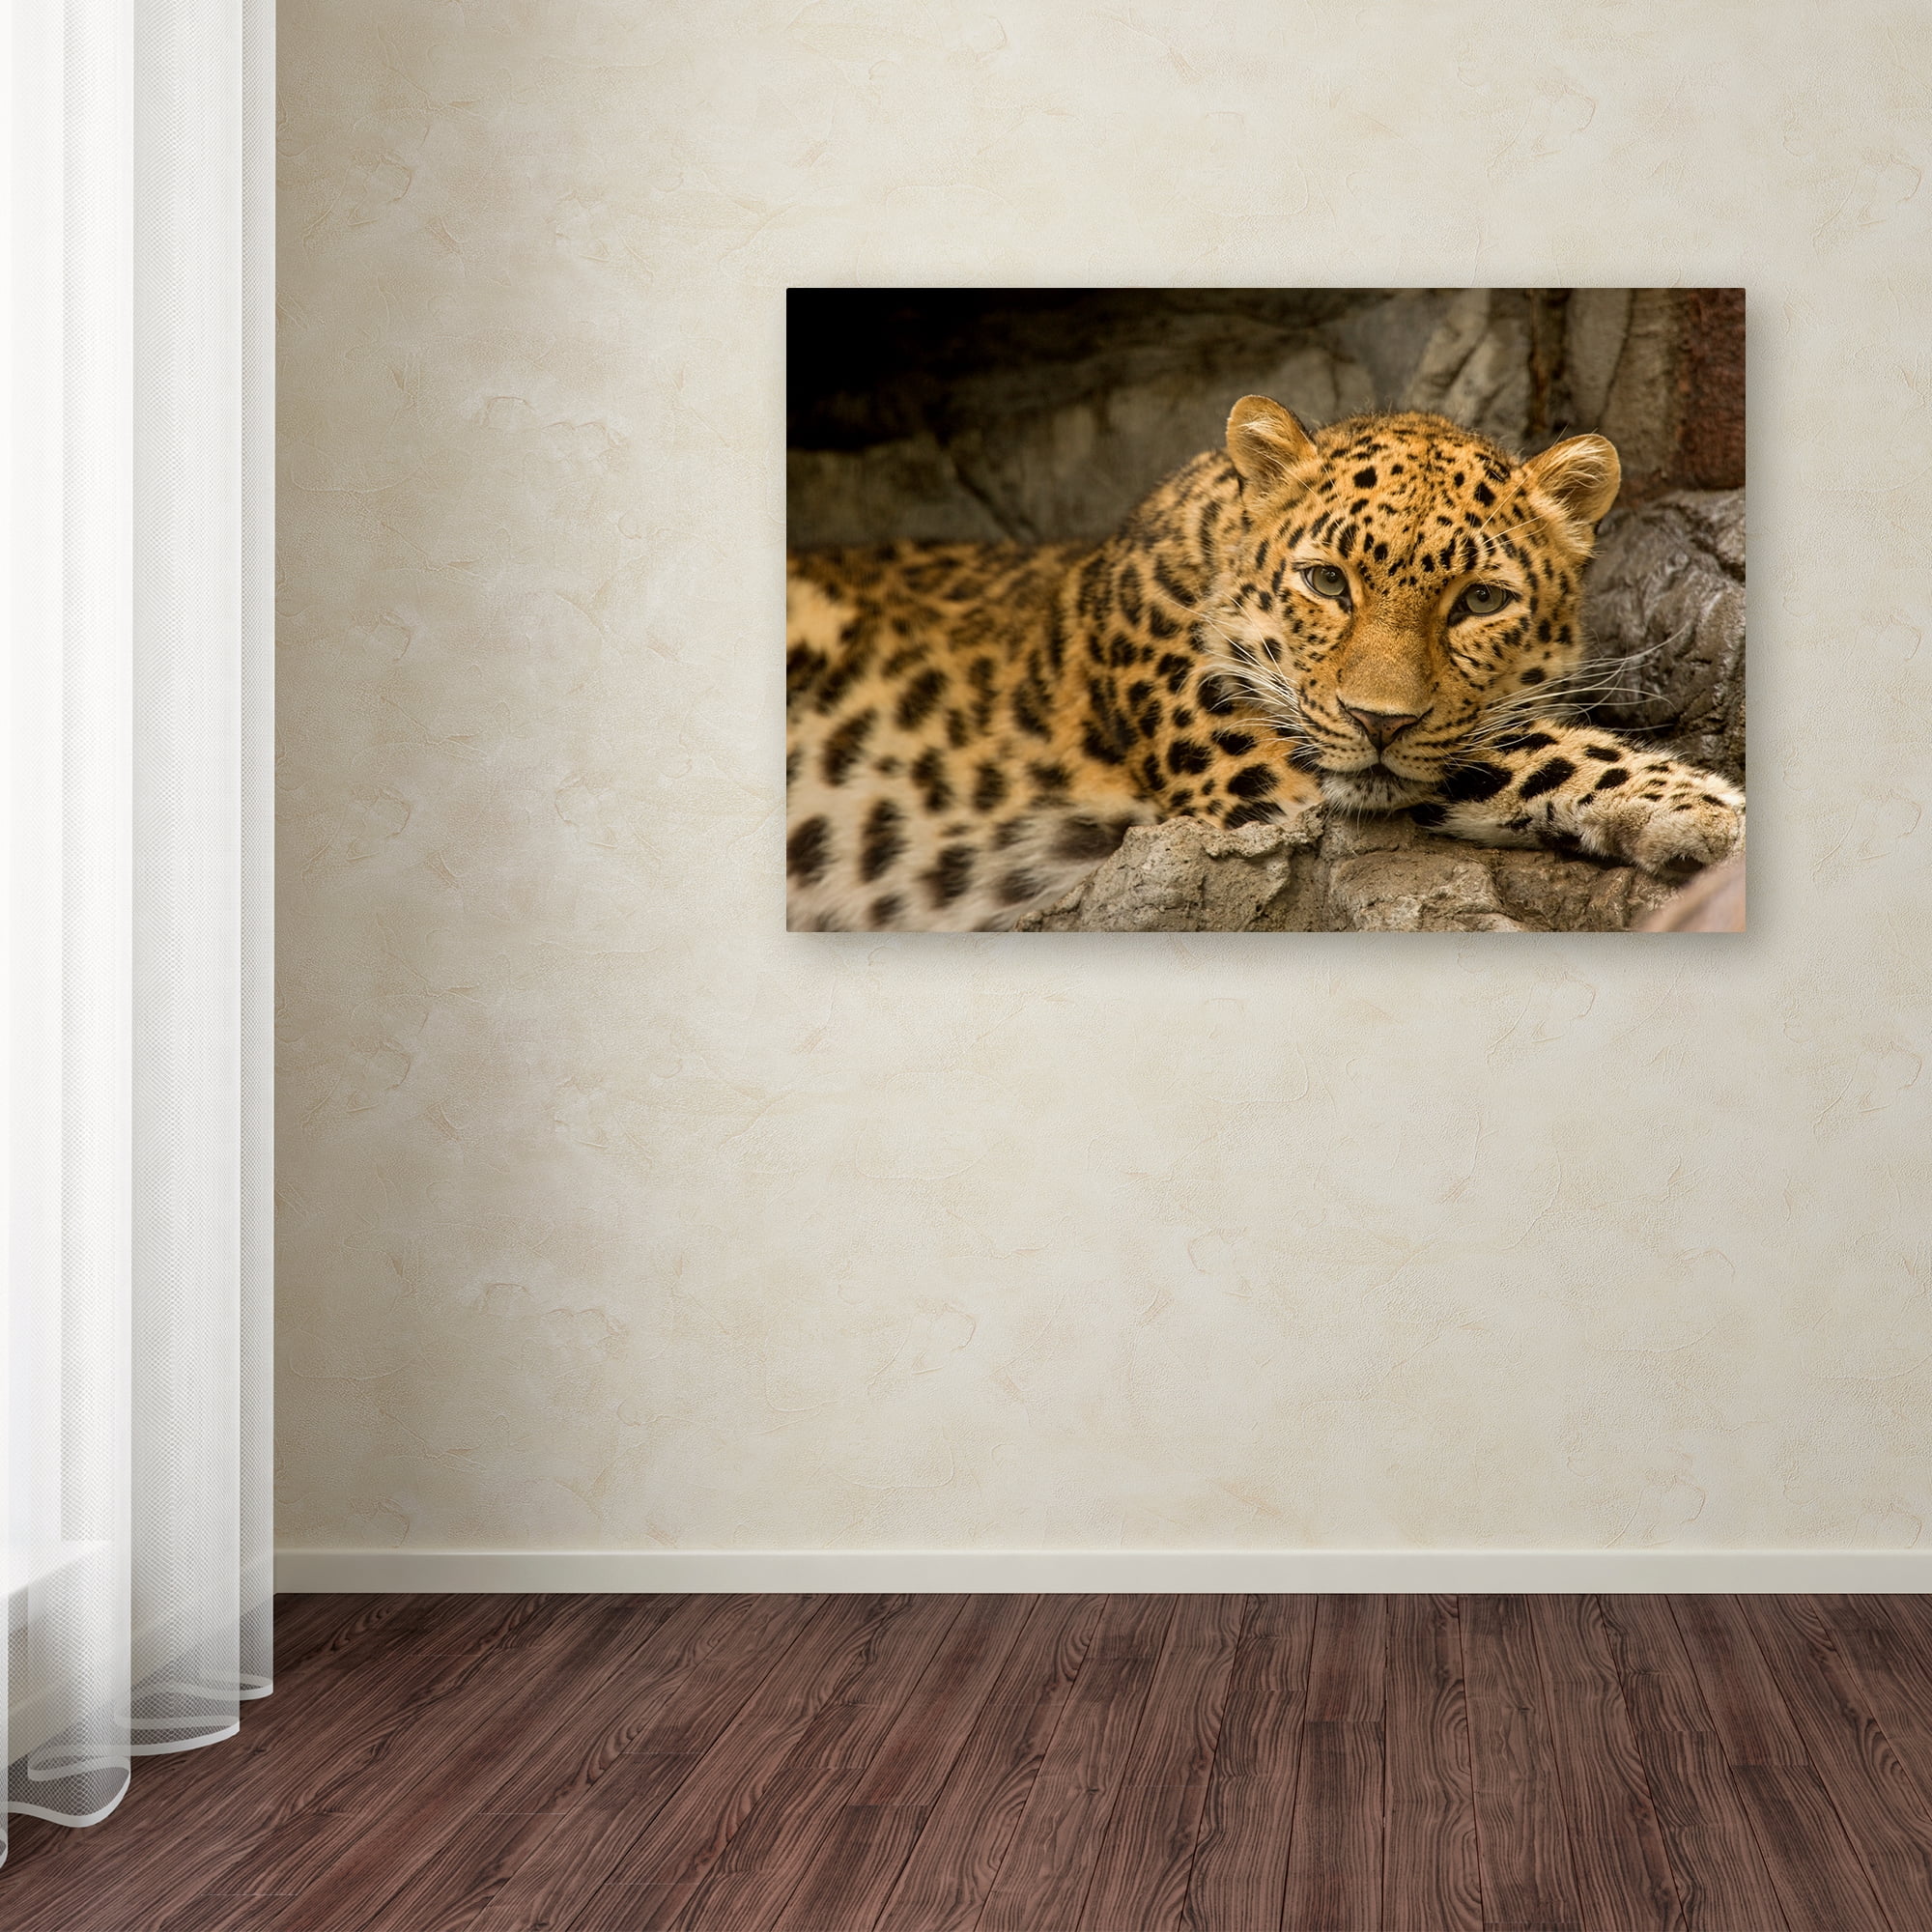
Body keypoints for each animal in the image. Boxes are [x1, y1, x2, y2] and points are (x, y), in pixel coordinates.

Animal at [785, 398, 1744, 932]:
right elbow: (1528, 748)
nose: (1380, 720)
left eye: (1479, 601)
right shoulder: (1263, 770)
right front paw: (1710, 810)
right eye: (1326, 581)